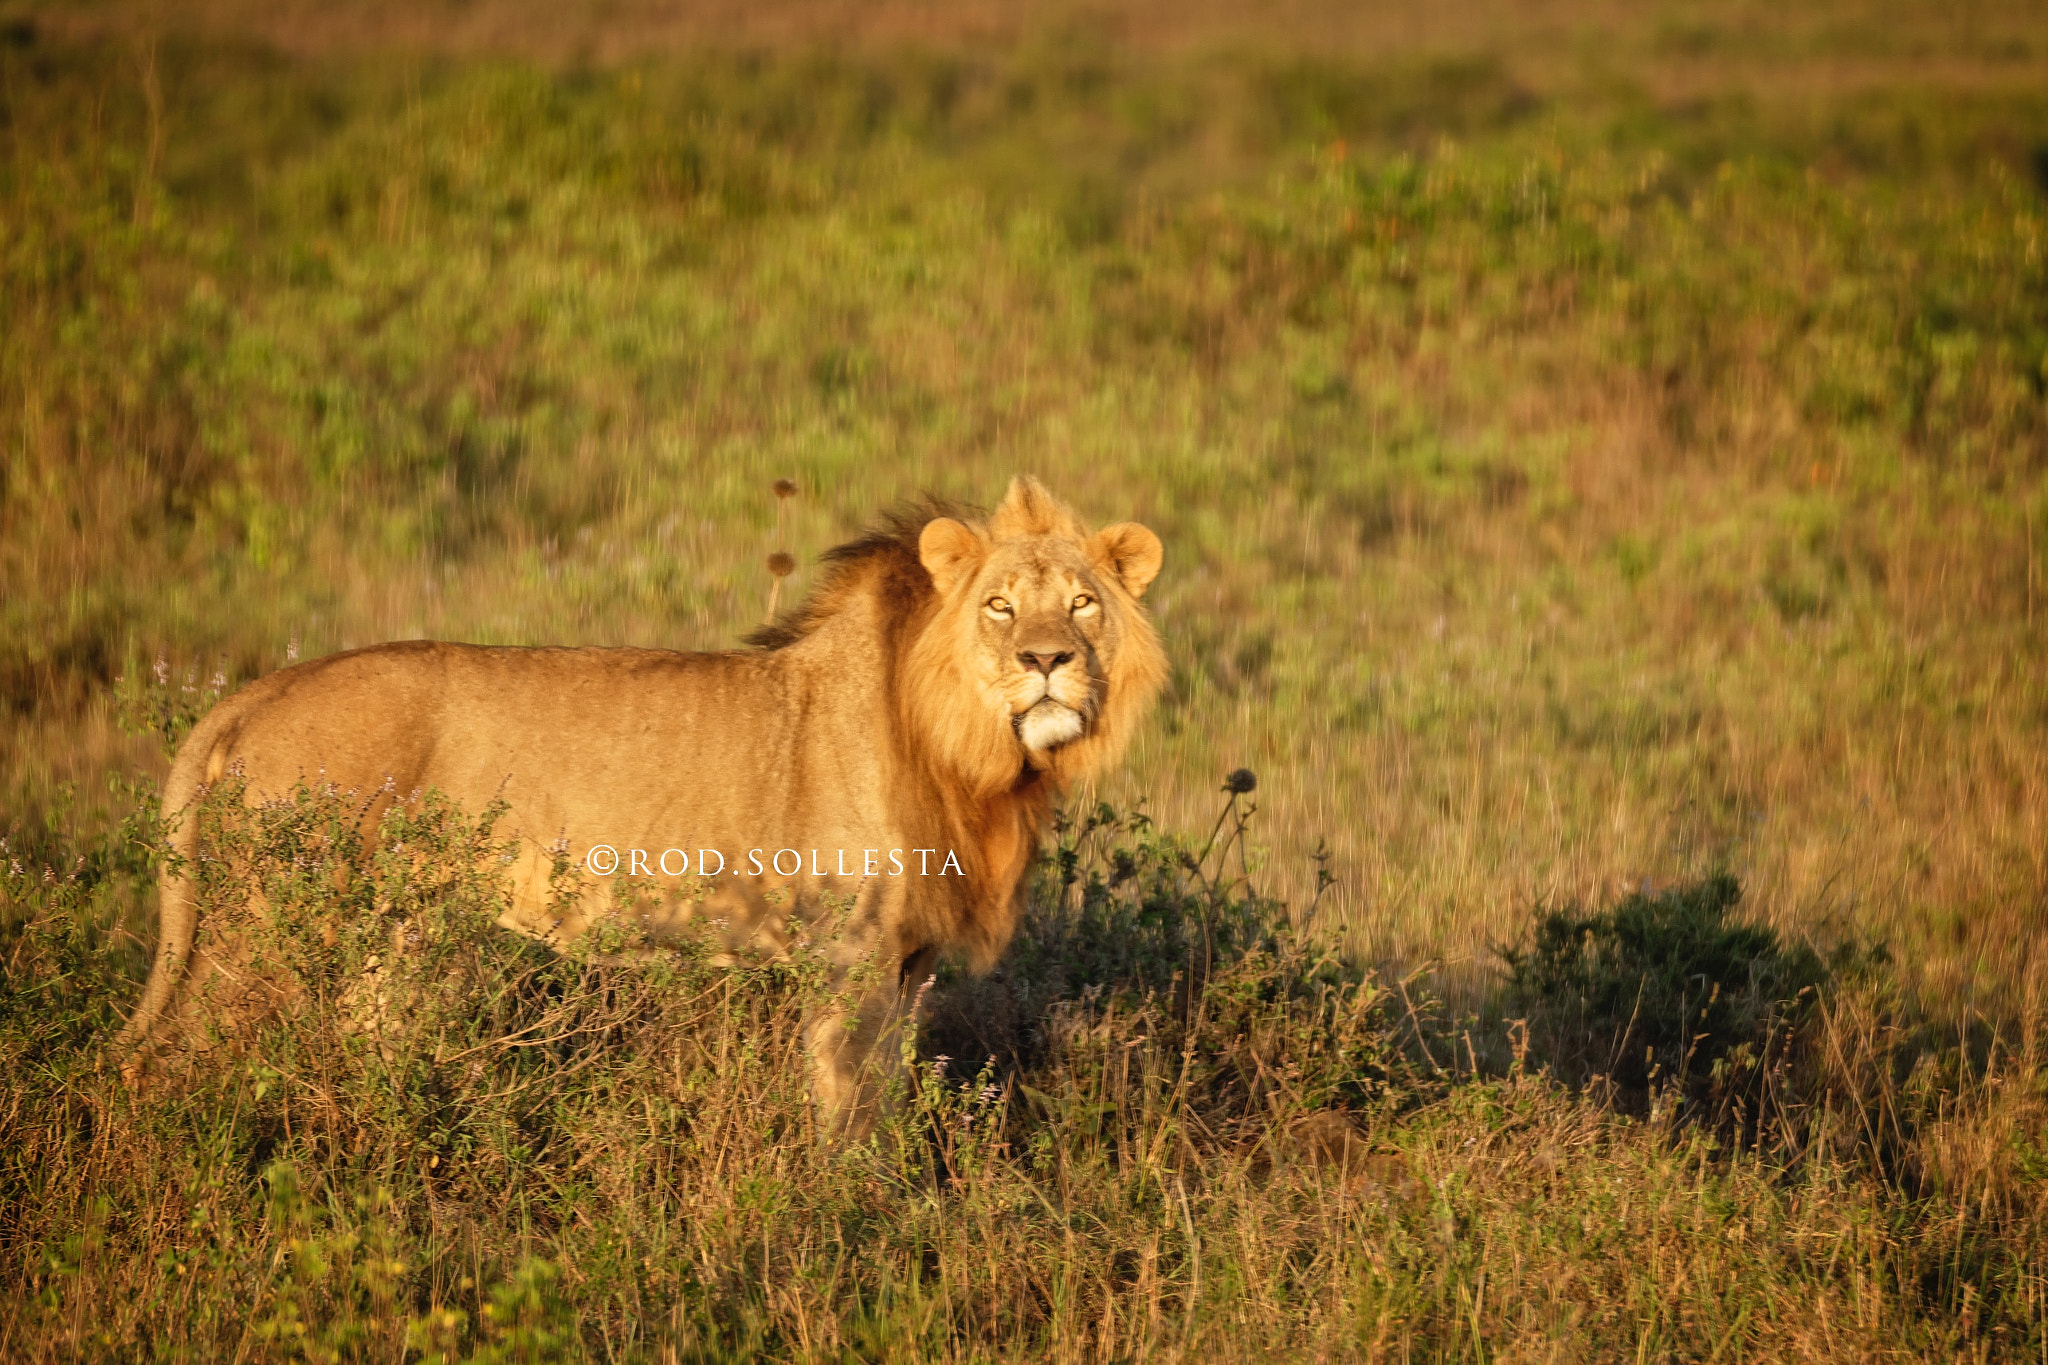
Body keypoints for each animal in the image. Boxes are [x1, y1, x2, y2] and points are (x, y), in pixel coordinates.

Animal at [119, 474, 1163, 1137]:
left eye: (1082, 605)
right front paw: (849, 1222)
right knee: (162, 1057)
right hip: (260, 929)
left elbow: (885, 1097)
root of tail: (256, 691)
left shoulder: (912, 963)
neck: (979, 757)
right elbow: (845, 1108)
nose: (1047, 659)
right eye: (999, 606)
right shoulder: (850, 953)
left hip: (391, 934)